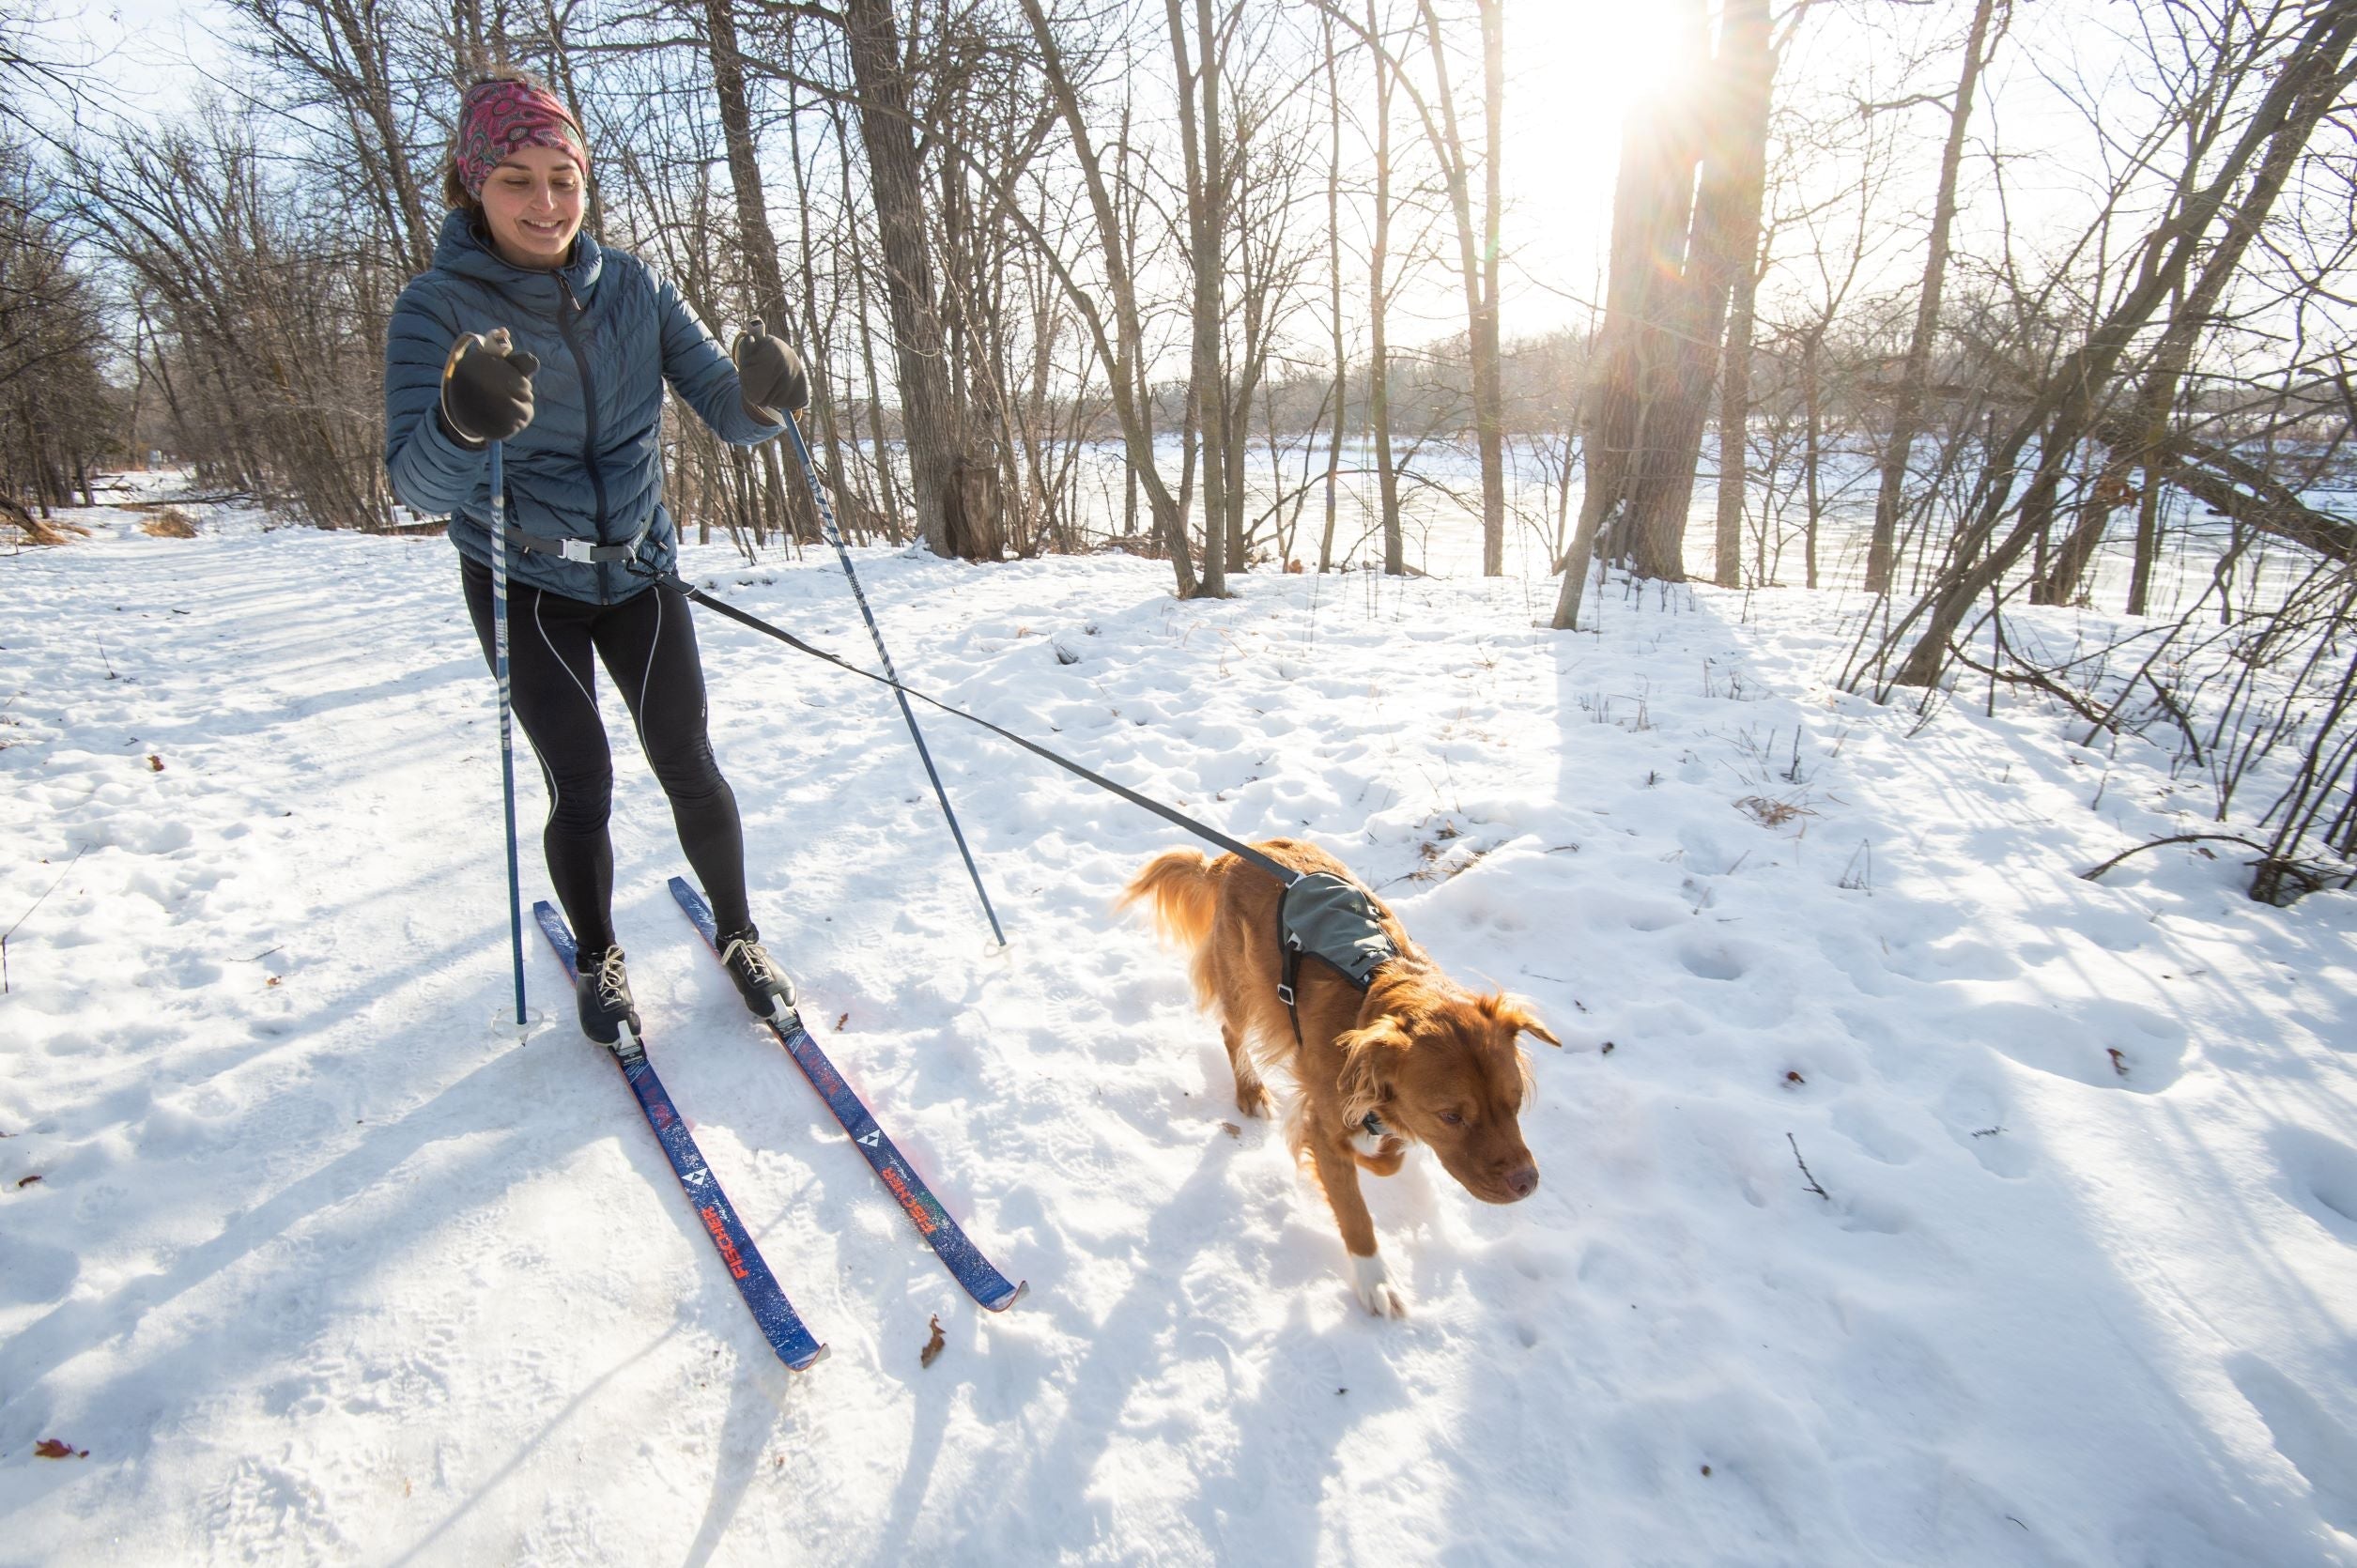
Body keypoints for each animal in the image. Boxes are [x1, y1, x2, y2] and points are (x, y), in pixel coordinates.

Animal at [1126, 839, 1564, 1311]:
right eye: (1451, 1117)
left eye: (1515, 1102)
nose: (1527, 1182)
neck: (1371, 1000)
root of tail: (1230, 858)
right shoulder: (1324, 1121)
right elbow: (1352, 1206)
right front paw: (1375, 1279)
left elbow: (1388, 1159)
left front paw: (1382, 1151)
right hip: (1243, 987)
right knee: (1231, 1033)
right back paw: (1250, 1090)